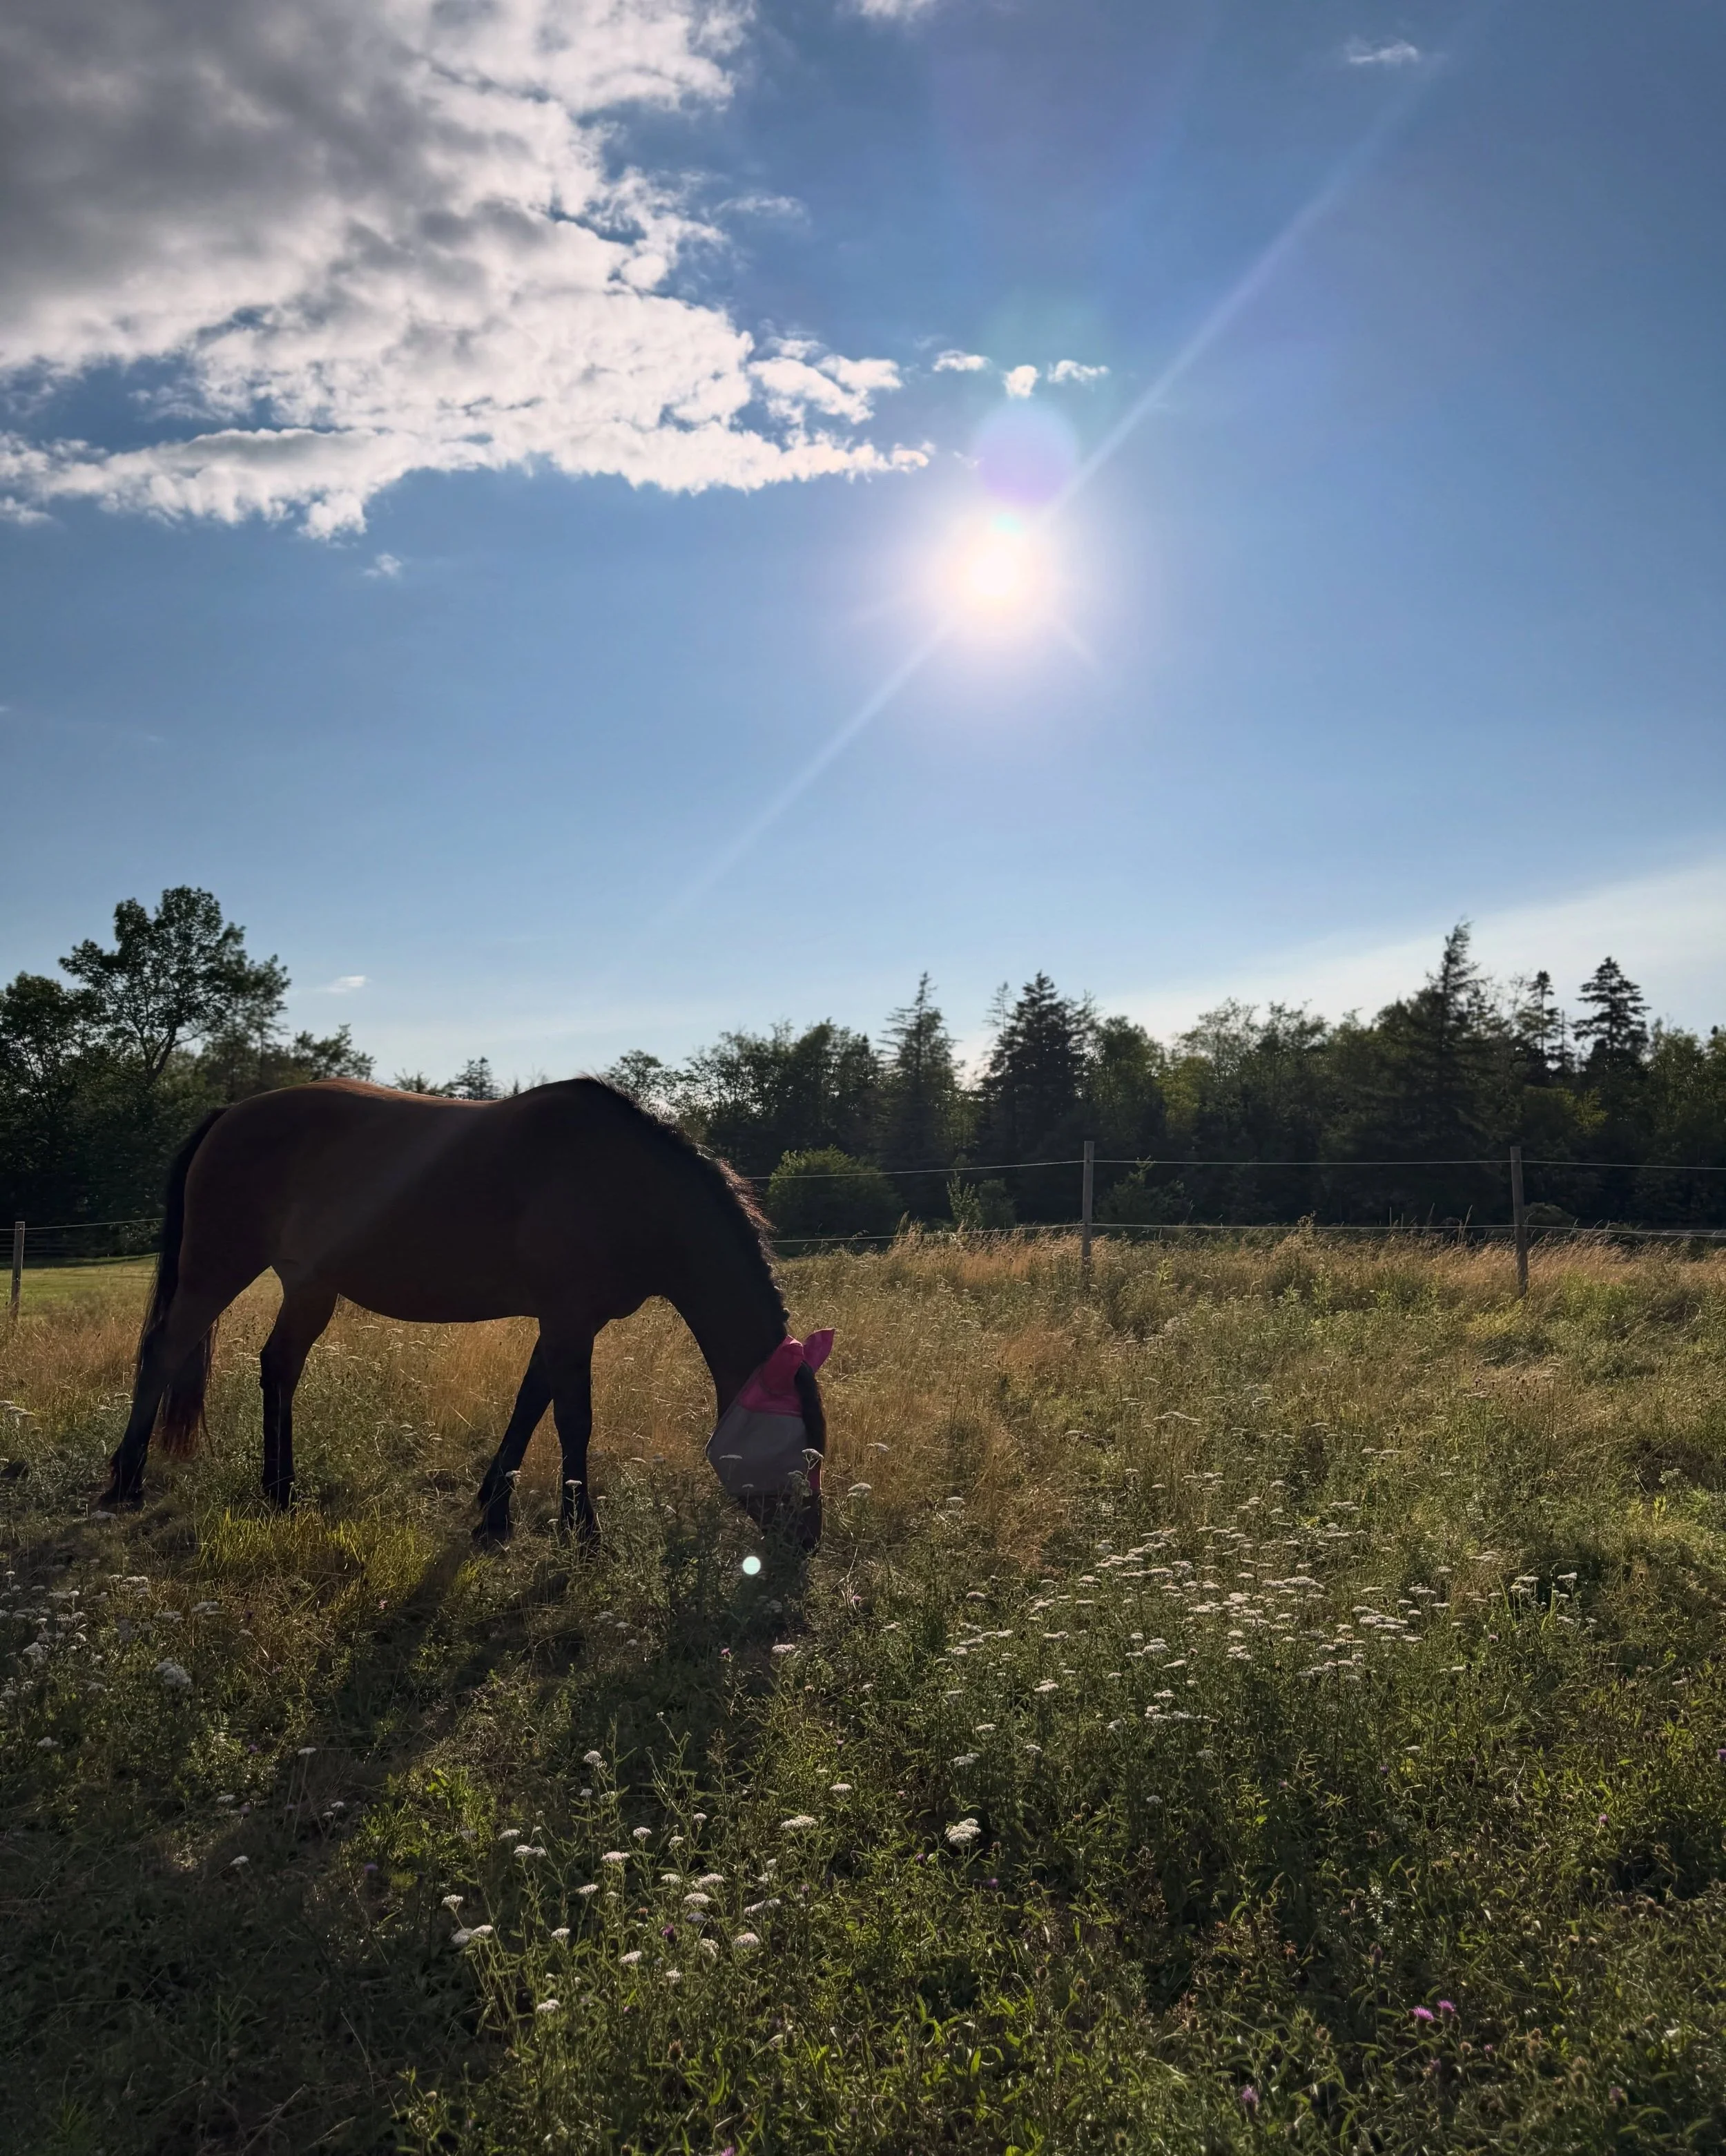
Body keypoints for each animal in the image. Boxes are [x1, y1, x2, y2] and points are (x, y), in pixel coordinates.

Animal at [100, 1078, 830, 1546]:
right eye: (805, 1454)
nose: (808, 1542)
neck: (630, 1186)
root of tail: (229, 1114)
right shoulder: (569, 1320)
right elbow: (573, 1419)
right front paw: (582, 1533)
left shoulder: (565, 1322)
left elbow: (529, 1405)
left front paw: (494, 1513)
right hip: (215, 1271)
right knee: (166, 1352)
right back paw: (125, 1481)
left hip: (311, 1286)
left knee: (280, 1365)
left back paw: (280, 1491)